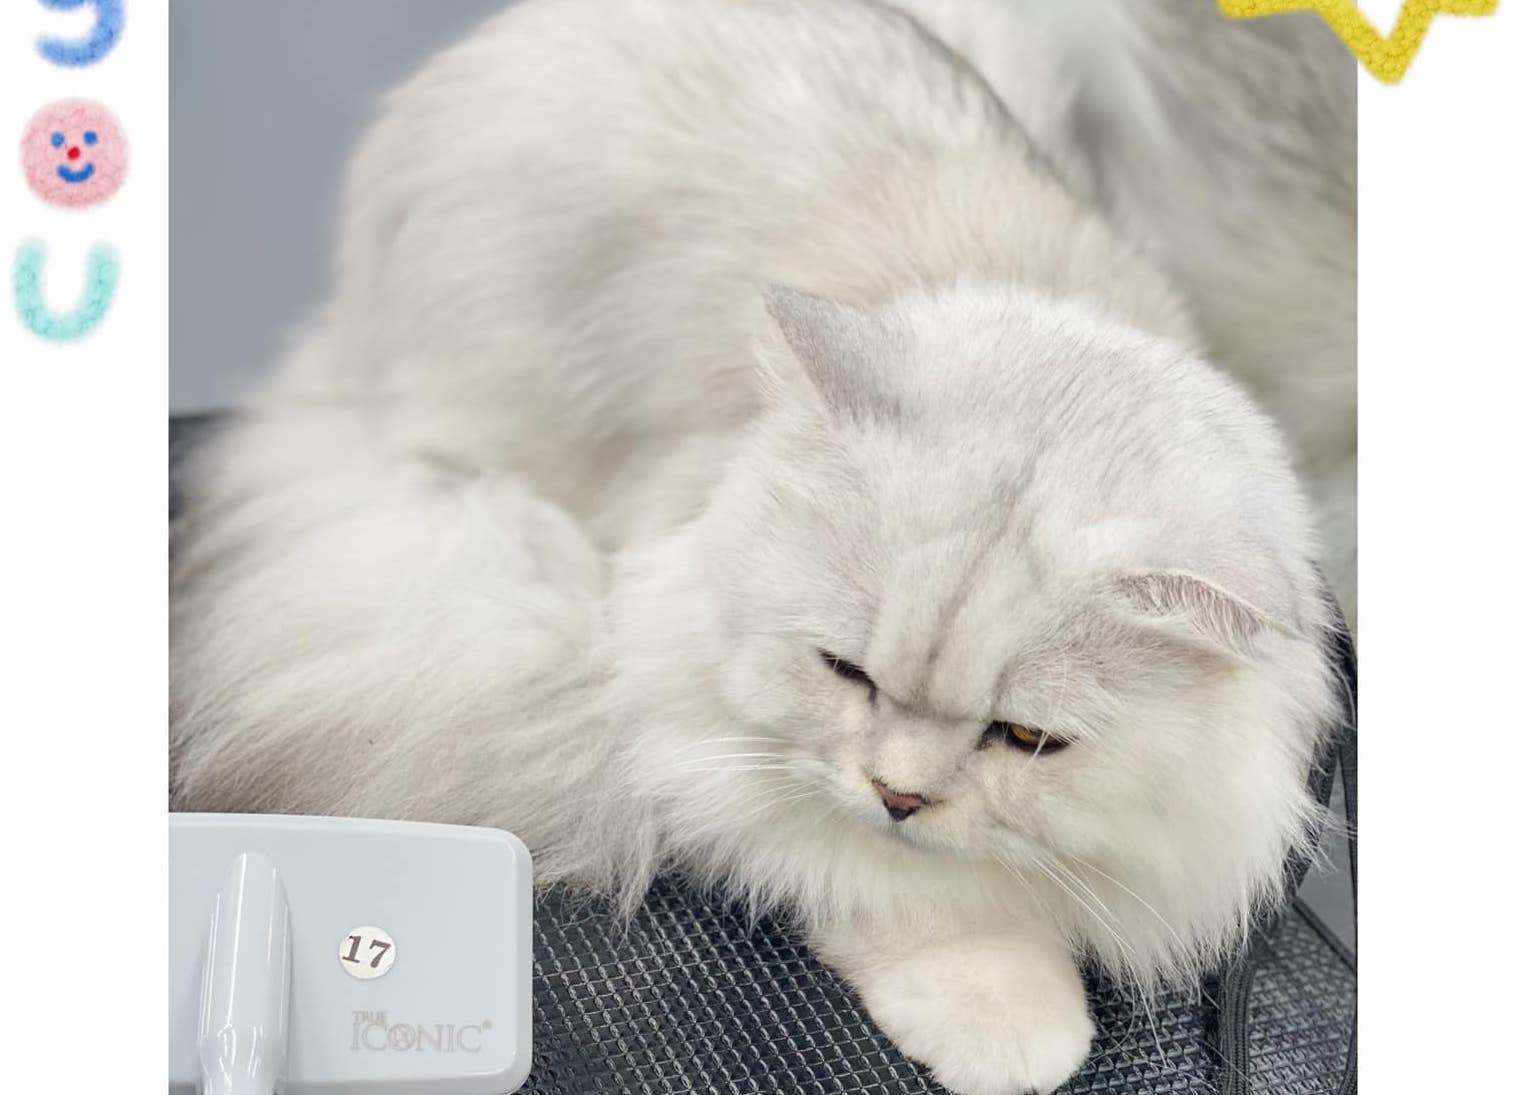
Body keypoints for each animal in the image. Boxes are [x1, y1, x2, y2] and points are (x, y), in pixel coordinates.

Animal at [170, 2, 1340, 1092]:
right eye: (846, 672)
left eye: (1025, 738)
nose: (900, 795)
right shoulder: (690, 714)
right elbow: (898, 891)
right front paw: (1003, 1018)